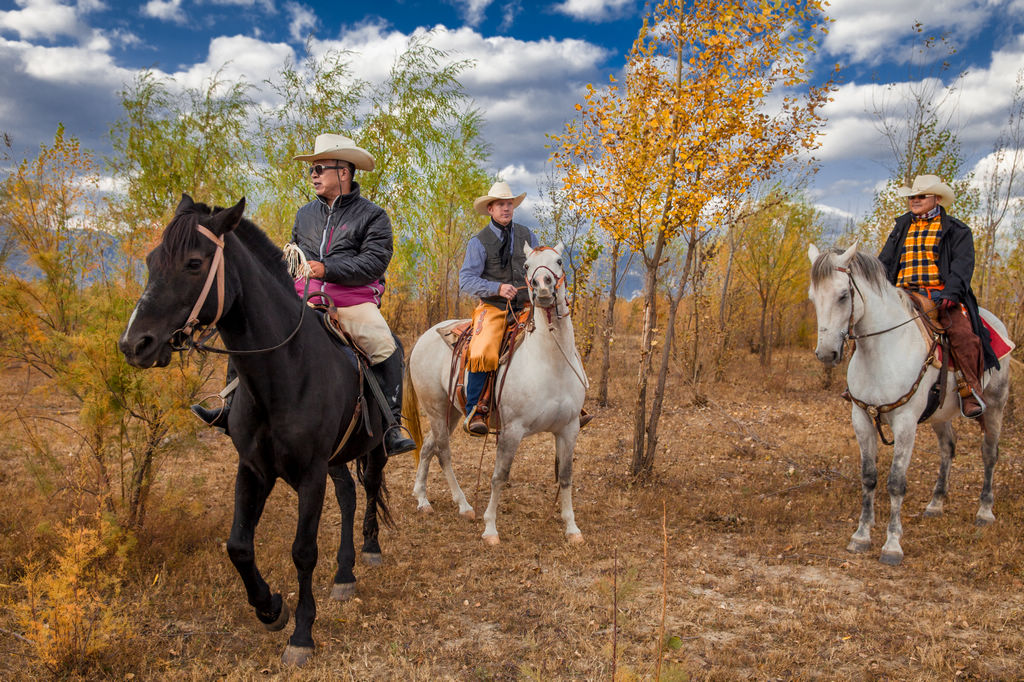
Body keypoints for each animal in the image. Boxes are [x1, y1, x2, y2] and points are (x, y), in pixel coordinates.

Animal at [118, 195, 391, 663]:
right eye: (152, 260)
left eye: (194, 263)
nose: (135, 344)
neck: (284, 373)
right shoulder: (253, 469)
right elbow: (239, 546)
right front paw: (270, 608)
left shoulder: (310, 475)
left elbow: (302, 552)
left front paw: (301, 634)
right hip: (336, 460)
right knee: (349, 496)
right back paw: (344, 573)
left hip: (375, 446)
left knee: (370, 487)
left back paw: (369, 550)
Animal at [403, 241, 589, 544]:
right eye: (527, 266)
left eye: (560, 261)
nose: (543, 287)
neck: (550, 363)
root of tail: (423, 338)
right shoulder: (512, 430)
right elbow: (499, 476)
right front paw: (490, 528)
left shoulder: (569, 428)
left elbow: (565, 476)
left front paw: (572, 528)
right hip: (436, 409)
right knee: (443, 452)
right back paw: (464, 505)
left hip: (453, 412)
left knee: (429, 446)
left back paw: (422, 499)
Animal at [811, 242, 1011, 561]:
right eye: (813, 297)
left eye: (843, 295)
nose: (826, 354)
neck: (882, 351)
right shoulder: (862, 418)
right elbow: (869, 477)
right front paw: (861, 535)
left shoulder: (905, 424)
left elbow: (896, 482)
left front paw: (892, 544)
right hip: (940, 414)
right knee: (948, 448)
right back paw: (936, 504)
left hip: (995, 407)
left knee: (989, 454)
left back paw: (984, 511)